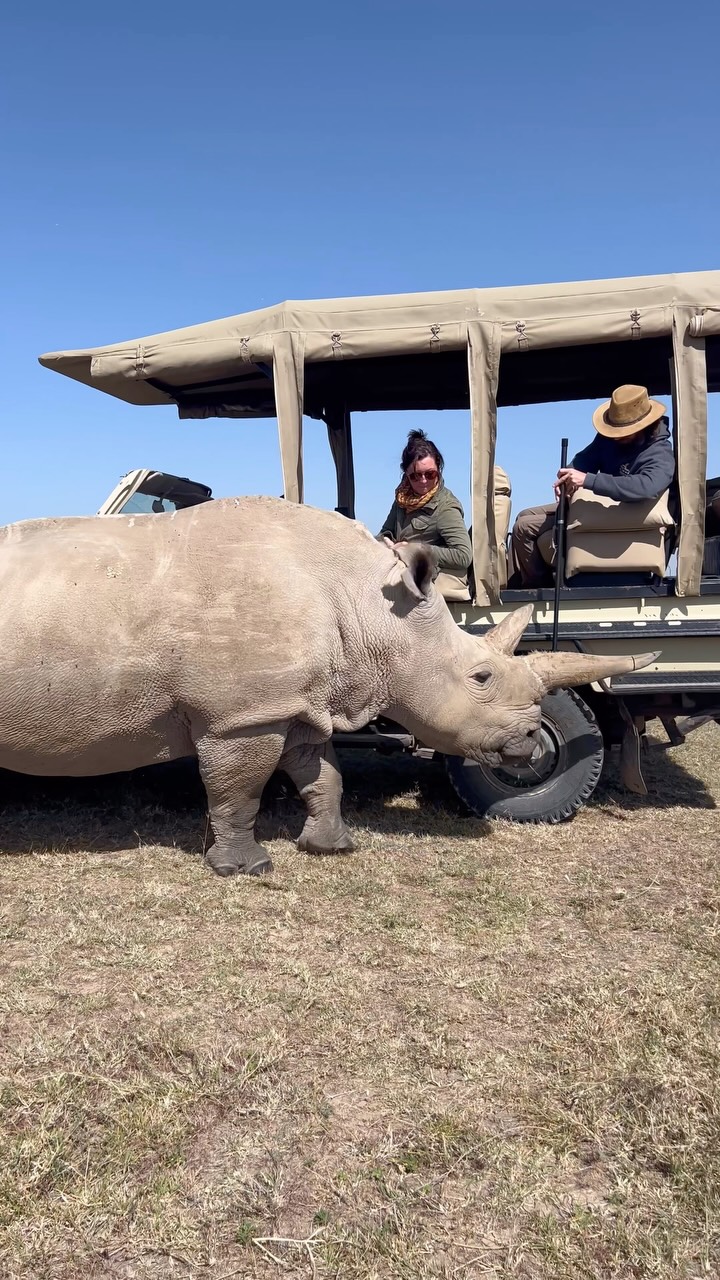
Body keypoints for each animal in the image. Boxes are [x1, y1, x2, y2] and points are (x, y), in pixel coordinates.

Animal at [0, 496, 656, 875]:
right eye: (480, 676)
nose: (529, 742)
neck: (370, 606)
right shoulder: (242, 714)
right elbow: (240, 788)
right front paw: (245, 868)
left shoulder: (294, 702)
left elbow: (323, 774)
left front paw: (331, 847)